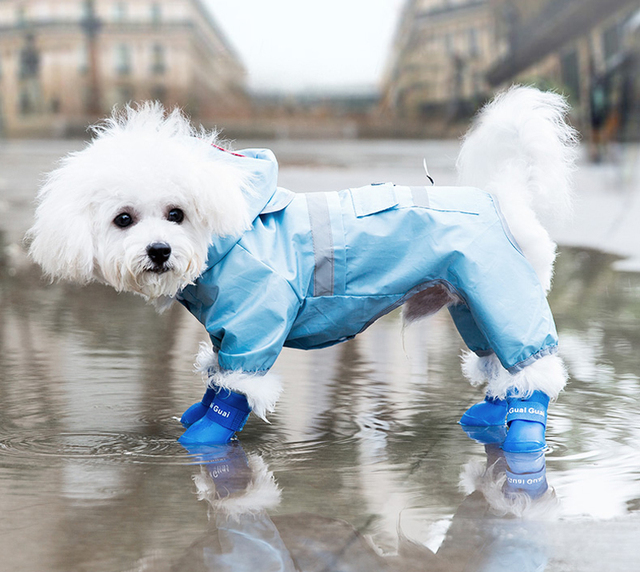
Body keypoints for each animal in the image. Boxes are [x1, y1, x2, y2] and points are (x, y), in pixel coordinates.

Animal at [27, 88, 580, 446]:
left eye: (176, 214)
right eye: (123, 220)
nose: (159, 250)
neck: (230, 231)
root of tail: (499, 200)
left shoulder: (254, 323)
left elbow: (237, 390)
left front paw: (205, 437)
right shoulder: (224, 332)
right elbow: (216, 379)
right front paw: (194, 415)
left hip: (502, 296)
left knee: (534, 369)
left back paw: (524, 436)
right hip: (471, 304)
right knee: (500, 366)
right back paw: (489, 414)